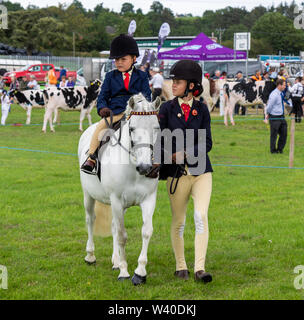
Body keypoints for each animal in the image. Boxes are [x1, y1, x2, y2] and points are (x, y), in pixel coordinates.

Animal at [78, 92, 162, 284]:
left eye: (156, 128)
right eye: (132, 129)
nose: (145, 167)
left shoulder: (148, 200)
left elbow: (146, 232)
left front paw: (140, 272)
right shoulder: (116, 200)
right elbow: (123, 236)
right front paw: (124, 272)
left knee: (114, 226)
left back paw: (115, 260)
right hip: (89, 195)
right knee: (90, 220)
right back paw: (90, 256)